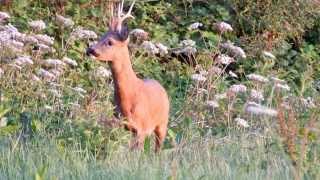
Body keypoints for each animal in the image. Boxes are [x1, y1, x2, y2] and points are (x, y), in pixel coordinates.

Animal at [85, 0, 170, 152]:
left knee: (158, 149)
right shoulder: (121, 124)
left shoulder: (142, 127)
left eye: (110, 42)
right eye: (101, 37)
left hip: (162, 123)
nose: (90, 49)